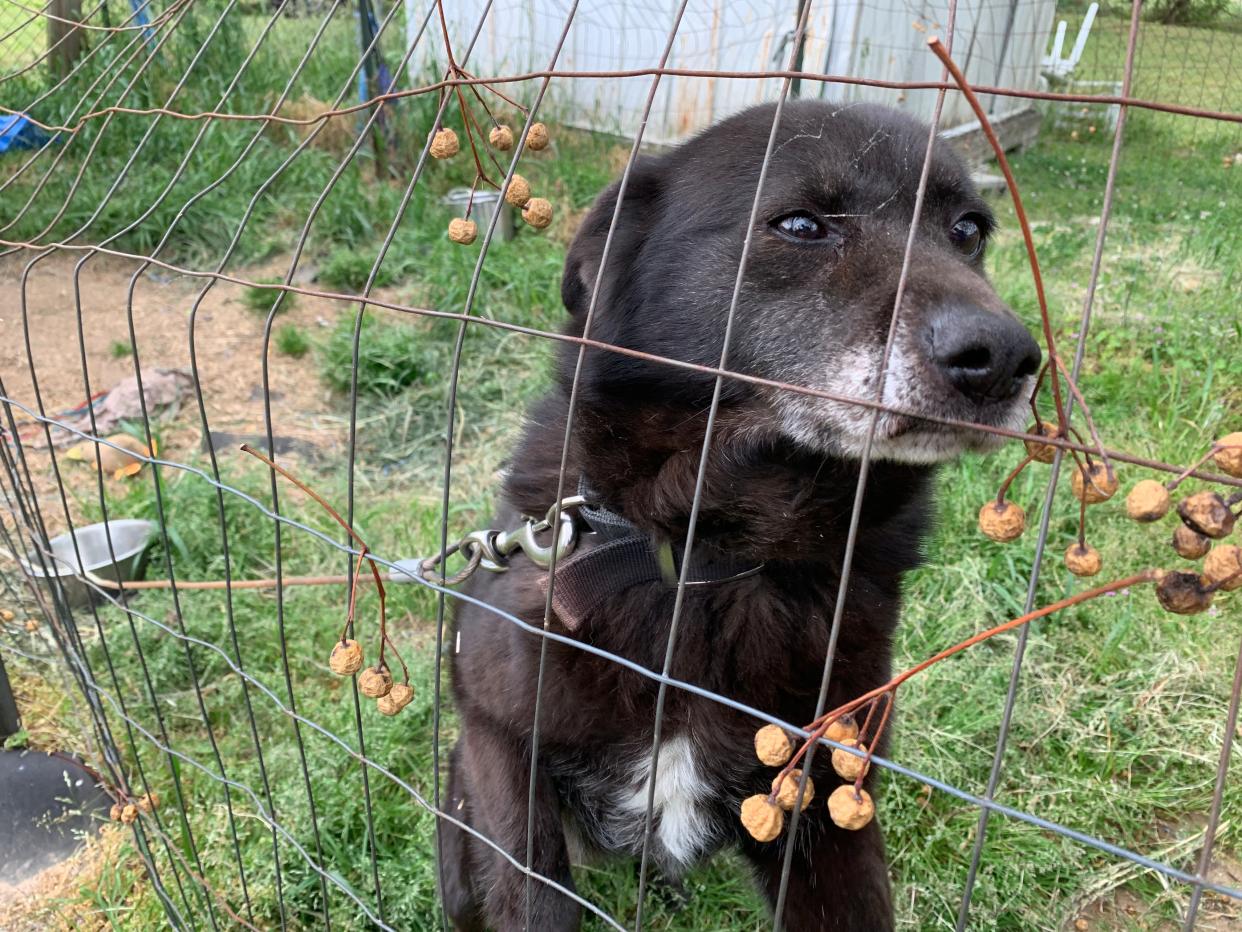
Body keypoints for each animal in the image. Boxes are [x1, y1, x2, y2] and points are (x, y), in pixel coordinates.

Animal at [437, 98, 1038, 929]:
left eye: (969, 230)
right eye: (802, 224)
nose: (1008, 358)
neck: (709, 559)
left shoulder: (828, 802)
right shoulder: (502, 749)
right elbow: (534, 896)